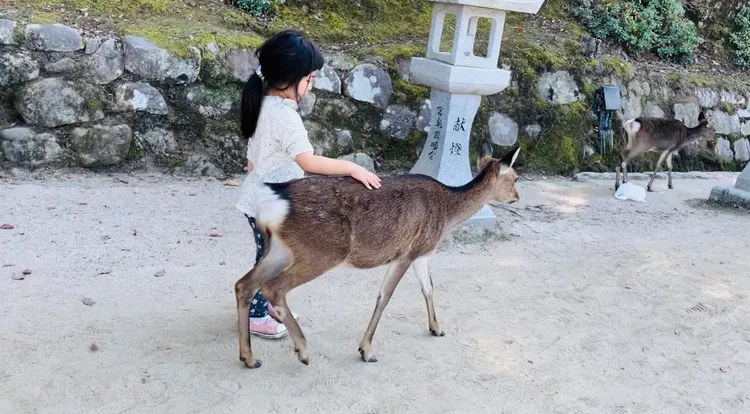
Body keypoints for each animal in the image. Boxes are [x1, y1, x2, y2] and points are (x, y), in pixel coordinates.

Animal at [234, 142, 521, 369]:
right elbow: (385, 296)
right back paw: (303, 350)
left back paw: (249, 357)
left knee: (244, 284)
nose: (517, 197)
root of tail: (275, 199)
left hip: (280, 249)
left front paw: (437, 328)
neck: (448, 211)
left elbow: (428, 288)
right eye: (516, 178)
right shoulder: (406, 252)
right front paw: (366, 351)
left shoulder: (422, 252)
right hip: (322, 251)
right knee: (273, 288)